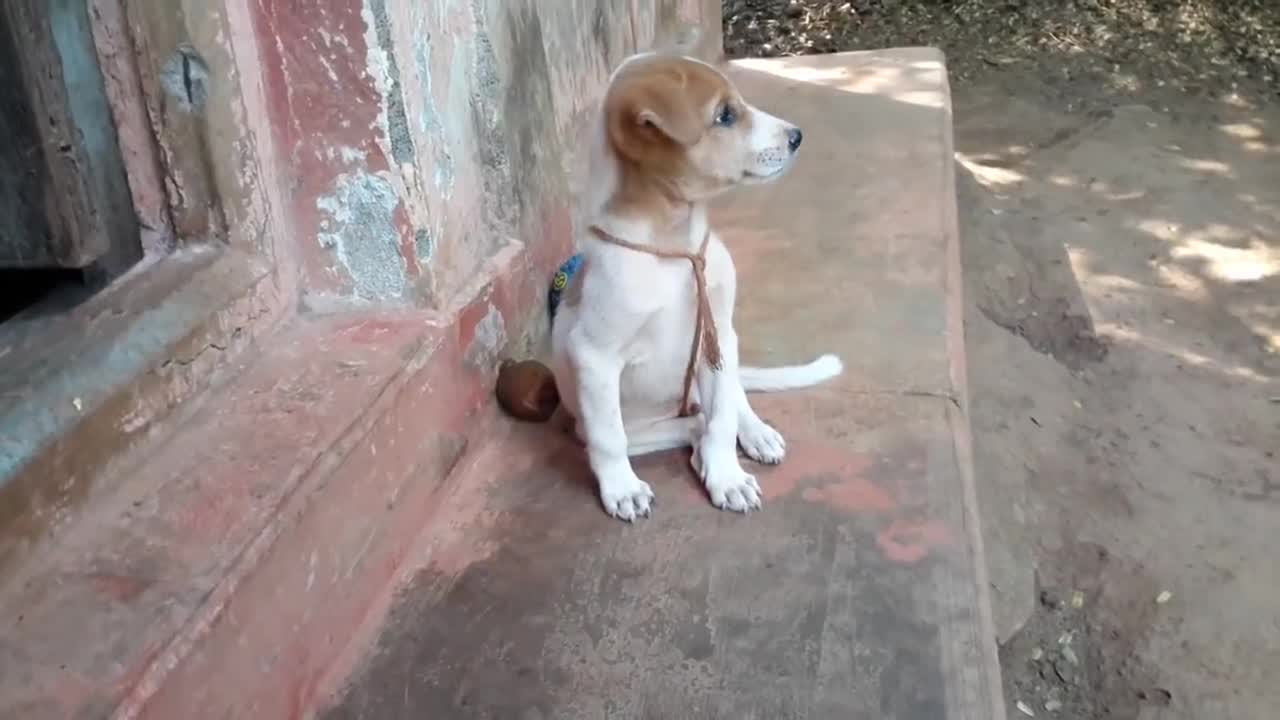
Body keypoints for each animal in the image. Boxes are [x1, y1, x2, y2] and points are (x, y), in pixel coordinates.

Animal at [547, 50, 839, 520]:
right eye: (725, 115)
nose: (797, 137)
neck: (671, 247)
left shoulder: (716, 336)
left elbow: (723, 419)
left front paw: (727, 478)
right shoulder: (595, 356)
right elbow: (610, 438)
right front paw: (622, 488)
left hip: (727, 349)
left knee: (728, 404)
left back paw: (754, 433)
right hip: (618, 425)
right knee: (687, 426)